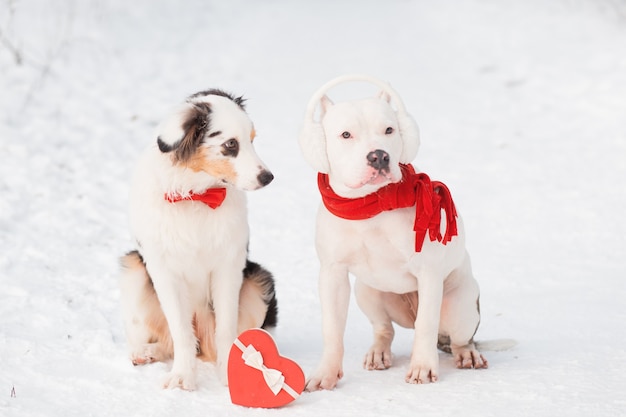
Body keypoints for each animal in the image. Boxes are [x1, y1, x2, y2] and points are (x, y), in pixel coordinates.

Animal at [119, 88, 276, 390]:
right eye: (230, 144)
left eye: (252, 140)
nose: (268, 177)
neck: (195, 196)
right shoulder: (163, 270)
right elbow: (180, 330)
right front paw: (182, 376)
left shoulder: (229, 265)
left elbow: (225, 329)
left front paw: (229, 376)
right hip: (133, 271)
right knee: (172, 340)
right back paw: (146, 352)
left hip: (259, 282)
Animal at [298, 75, 488, 390]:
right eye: (346, 135)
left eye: (389, 129)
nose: (378, 156)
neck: (370, 205)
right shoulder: (333, 274)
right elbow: (332, 329)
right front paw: (326, 374)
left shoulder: (428, 273)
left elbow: (426, 324)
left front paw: (422, 367)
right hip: (368, 292)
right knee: (384, 329)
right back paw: (378, 352)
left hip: (459, 305)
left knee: (457, 337)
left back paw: (467, 354)